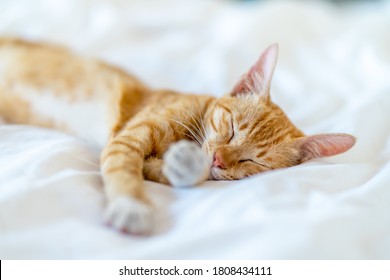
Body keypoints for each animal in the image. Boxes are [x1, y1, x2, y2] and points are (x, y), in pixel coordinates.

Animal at [0, 37, 356, 234]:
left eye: (253, 162)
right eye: (231, 129)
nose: (218, 159)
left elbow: (178, 172)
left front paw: (184, 165)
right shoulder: (124, 139)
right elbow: (124, 169)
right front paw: (131, 205)